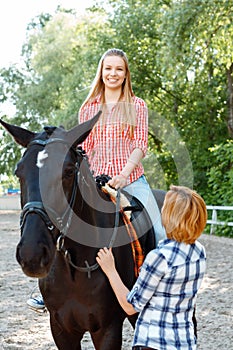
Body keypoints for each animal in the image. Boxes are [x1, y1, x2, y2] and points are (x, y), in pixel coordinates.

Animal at [0, 115, 166, 350]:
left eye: (69, 171)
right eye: (18, 172)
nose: (31, 254)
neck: (75, 266)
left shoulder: (107, 329)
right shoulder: (61, 329)